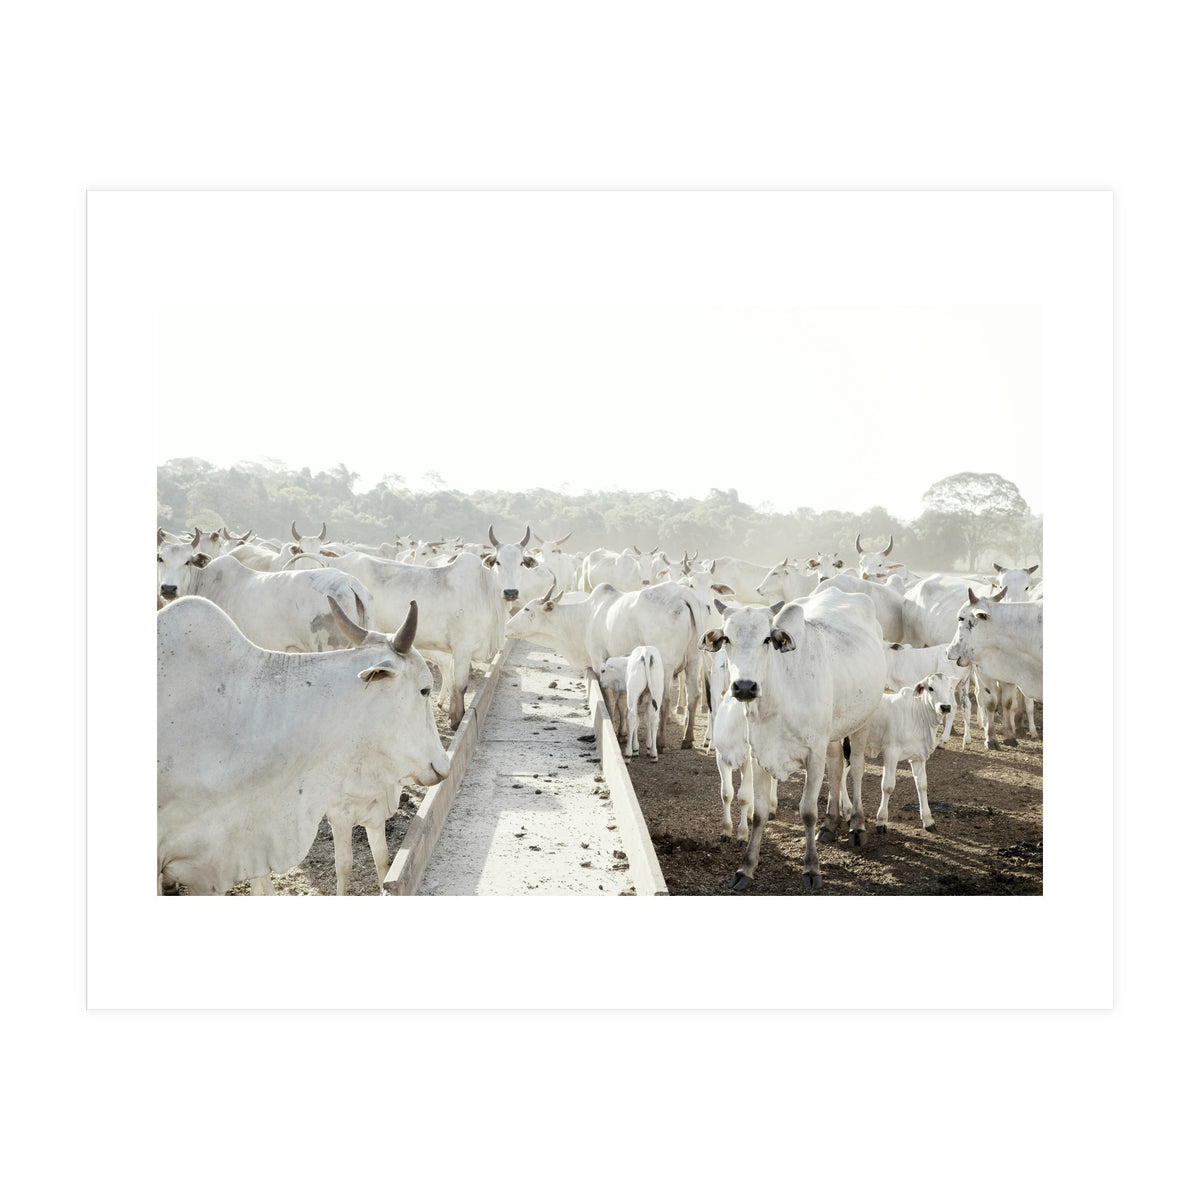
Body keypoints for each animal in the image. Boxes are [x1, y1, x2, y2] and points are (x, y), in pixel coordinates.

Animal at [505, 580, 707, 750]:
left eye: (527, 609)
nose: (507, 627)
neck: (586, 617)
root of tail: (682, 593)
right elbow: (622, 702)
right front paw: (623, 732)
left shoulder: (598, 661)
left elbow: (608, 699)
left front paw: (614, 729)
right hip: (694, 661)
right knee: (694, 696)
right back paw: (687, 739)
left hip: (665, 665)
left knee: (665, 700)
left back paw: (660, 740)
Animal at [703, 588, 885, 891]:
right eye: (727, 638)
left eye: (767, 638)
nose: (744, 686)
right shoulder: (759, 755)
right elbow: (758, 813)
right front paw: (746, 868)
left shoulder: (813, 754)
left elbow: (808, 812)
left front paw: (811, 869)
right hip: (832, 733)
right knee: (837, 767)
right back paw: (830, 823)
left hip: (864, 719)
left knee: (857, 767)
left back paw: (857, 826)